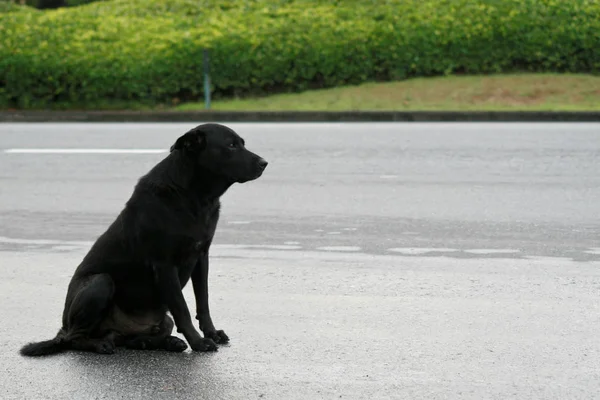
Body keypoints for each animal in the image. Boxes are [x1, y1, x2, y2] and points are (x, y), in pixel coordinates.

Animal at [19, 122, 268, 356]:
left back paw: (160, 342)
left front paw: (211, 333)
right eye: (231, 145)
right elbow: (182, 308)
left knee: (133, 339)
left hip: (154, 320)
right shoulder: (165, 265)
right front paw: (198, 342)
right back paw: (101, 345)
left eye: (241, 143)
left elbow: (203, 301)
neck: (194, 196)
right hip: (99, 283)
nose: (264, 163)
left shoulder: (201, 257)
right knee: (76, 338)